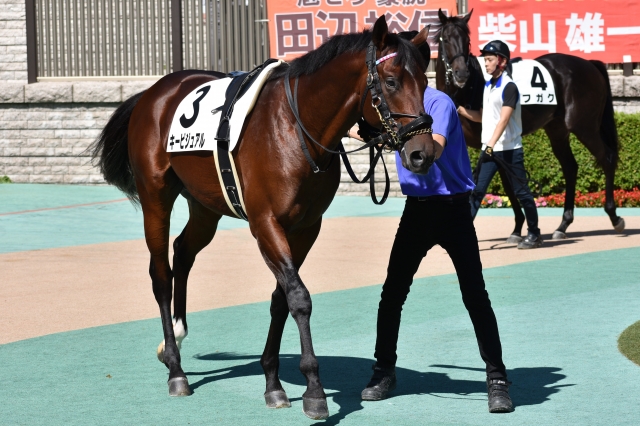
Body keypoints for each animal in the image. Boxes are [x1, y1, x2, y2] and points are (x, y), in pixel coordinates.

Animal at [91, 17, 436, 420]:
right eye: (392, 81)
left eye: (425, 81)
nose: (423, 152)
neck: (297, 128)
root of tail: (153, 92)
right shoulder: (266, 223)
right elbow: (298, 297)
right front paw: (314, 390)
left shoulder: (306, 227)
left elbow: (280, 299)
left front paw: (273, 382)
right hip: (155, 195)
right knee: (161, 273)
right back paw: (176, 369)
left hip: (206, 205)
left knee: (183, 251)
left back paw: (177, 332)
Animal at [434, 9, 625, 240]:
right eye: (445, 39)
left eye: (467, 40)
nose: (461, 74)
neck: (468, 90)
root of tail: (590, 64)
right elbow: (505, 183)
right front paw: (518, 228)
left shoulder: (491, 143)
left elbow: (502, 182)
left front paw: (519, 228)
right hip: (557, 129)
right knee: (570, 167)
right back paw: (563, 225)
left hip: (584, 126)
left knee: (607, 158)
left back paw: (614, 216)